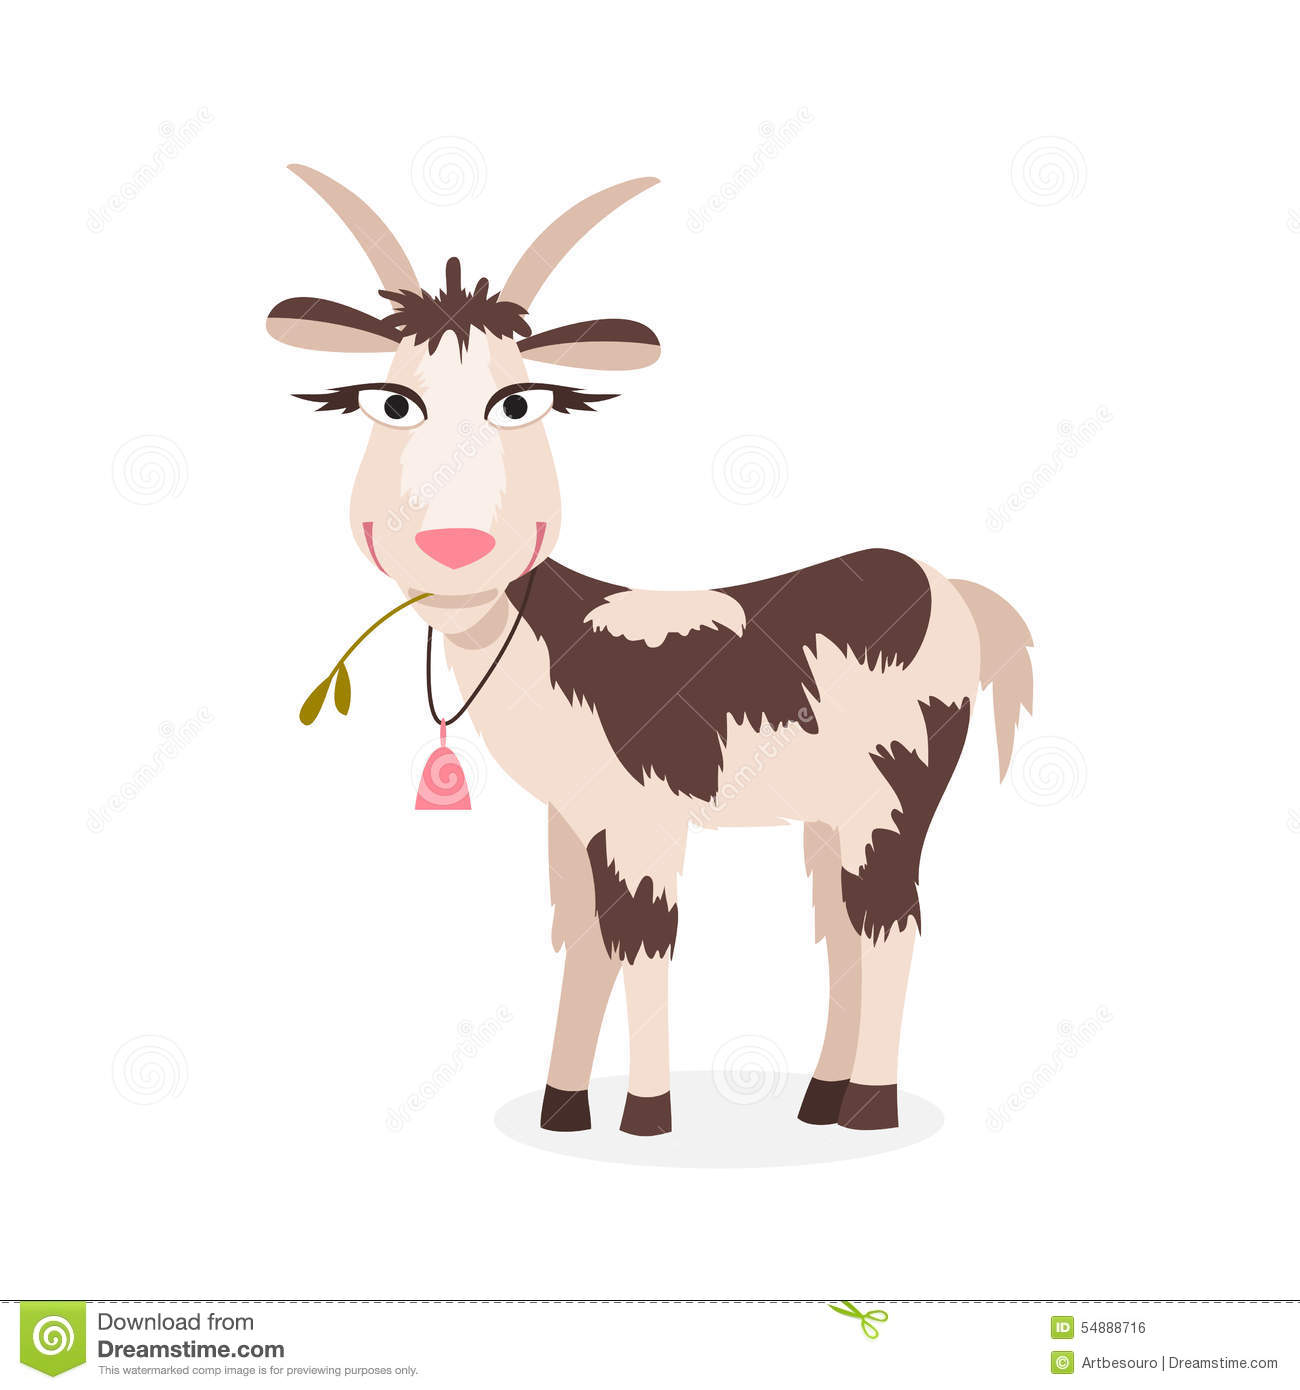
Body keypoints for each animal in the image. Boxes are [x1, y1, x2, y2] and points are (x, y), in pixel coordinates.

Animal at [267, 166, 1034, 1137]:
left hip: (896, 789)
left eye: (520, 400)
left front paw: (646, 1113)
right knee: (842, 925)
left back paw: (867, 1107)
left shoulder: (643, 815)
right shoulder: (572, 819)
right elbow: (584, 941)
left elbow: (645, 939)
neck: (546, 643)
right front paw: (563, 1107)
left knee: (888, 920)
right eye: (388, 400)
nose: (453, 542)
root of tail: (952, 590)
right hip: (836, 805)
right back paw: (820, 1099)